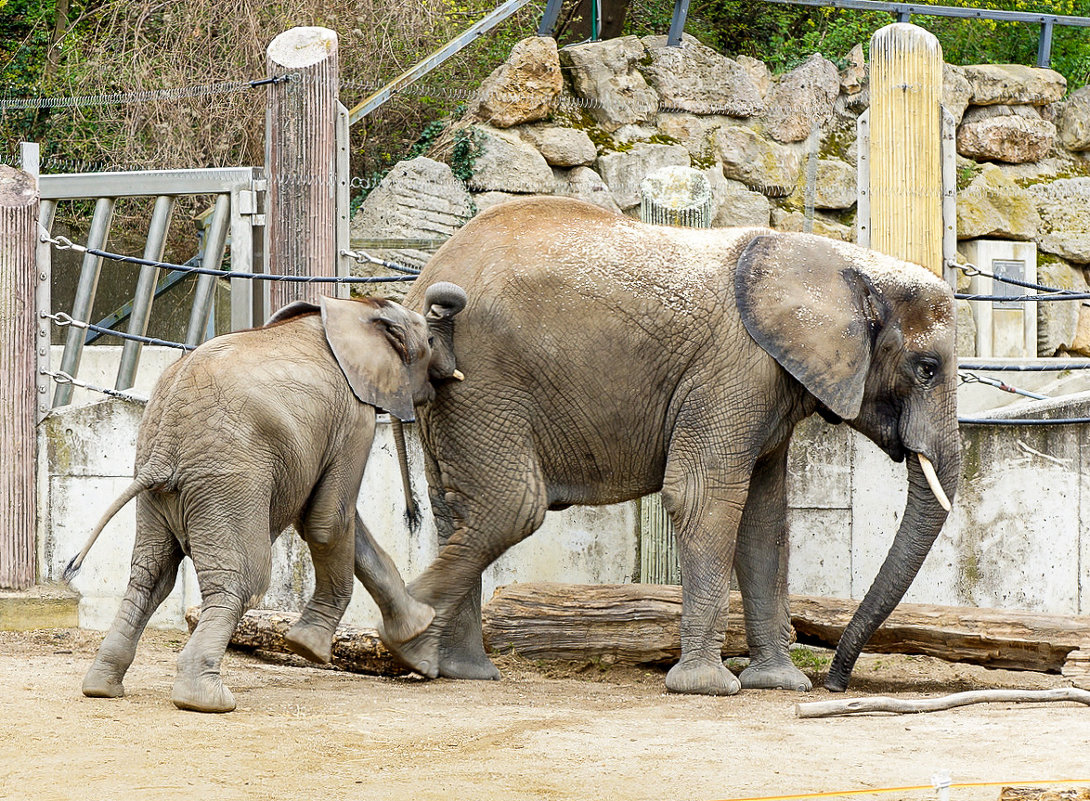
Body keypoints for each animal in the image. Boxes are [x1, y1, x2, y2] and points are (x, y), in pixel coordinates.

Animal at [63, 283, 464, 714]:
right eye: (429, 340)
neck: (350, 309)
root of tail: (164, 450)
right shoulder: (353, 419)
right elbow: (329, 521)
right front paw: (307, 648)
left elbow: (333, 521)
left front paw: (418, 634)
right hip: (228, 481)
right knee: (243, 580)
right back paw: (206, 700)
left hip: (157, 488)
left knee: (150, 576)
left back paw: (102, 688)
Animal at [388, 199, 959, 697]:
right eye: (927, 369)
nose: (836, 683)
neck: (836, 258)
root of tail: (417, 289)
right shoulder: (735, 370)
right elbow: (705, 499)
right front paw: (709, 688)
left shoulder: (769, 383)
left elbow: (765, 520)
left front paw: (778, 685)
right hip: (483, 376)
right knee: (510, 508)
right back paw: (408, 641)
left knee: (456, 509)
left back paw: (461, 670)